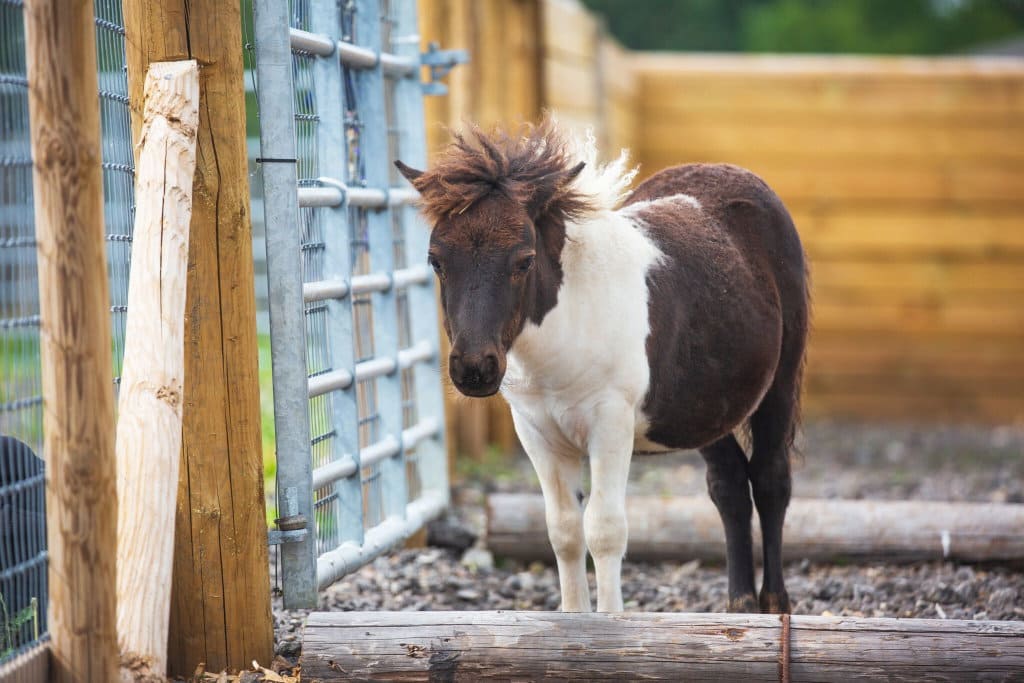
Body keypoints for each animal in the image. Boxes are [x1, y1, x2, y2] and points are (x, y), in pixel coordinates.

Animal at [395, 120, 809, 613]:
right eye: (436, 261)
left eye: (524, 260)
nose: (475, 369)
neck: (565, 331)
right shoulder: (536, 433)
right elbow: (564, 531)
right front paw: (576, 618)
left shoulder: (610, 424)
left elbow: (605, 529)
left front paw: (610, 623)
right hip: (708, 405)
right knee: (728, 487)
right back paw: (741, 604)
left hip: (779, 383)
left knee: (770, 479)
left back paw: (774, 604)